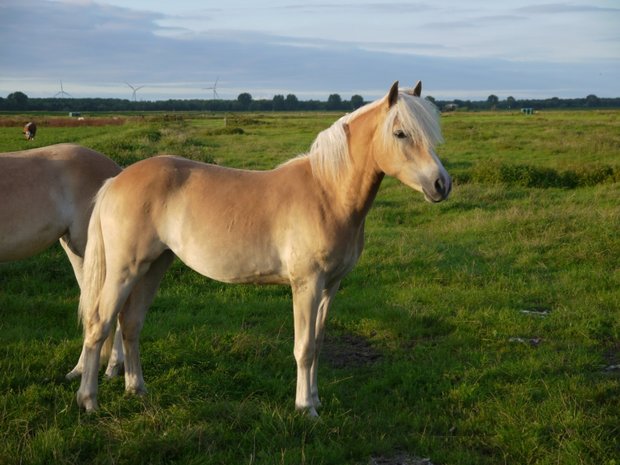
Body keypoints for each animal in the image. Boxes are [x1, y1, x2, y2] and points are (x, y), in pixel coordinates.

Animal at [75, 81, 450, 416]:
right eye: (400, 133)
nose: (441, 184)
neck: (327, 194)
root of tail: (115, 181)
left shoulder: (331, 286)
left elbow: (318, 342)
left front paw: (316, 400)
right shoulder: (306, 285)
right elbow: (304, 347)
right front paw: (305, 408)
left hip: (155, 266)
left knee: (131, 323)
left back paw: (137, 390)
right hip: (125, 270)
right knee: (99, 323)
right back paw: (89, 401)